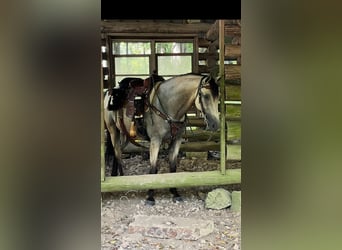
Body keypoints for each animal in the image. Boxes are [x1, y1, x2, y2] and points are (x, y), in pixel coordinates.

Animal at [103, 73, 219, 205]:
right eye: (206, 96)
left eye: (218, 96)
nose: (215, 125)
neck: (168, 105)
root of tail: (109, 92)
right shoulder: (155, 140)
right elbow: (153, 168)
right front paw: (150, 196)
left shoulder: (177, 140)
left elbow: (173, 167)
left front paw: (175, 192)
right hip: (113, 131)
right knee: (117, 153)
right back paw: (122, 179)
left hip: (125, 133)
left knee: (117, 151)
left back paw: (115, 176)